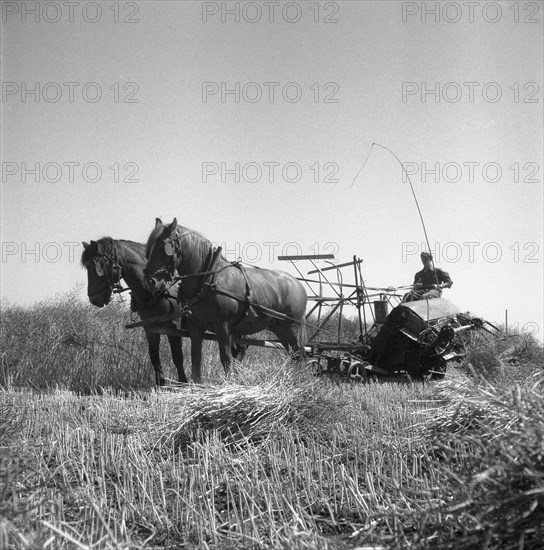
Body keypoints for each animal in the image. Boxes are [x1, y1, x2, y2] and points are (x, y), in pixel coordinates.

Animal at [79, 238, 188, 388]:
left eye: (98, 266)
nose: (94, 299)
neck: (158, 289)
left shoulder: (173, 326)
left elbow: (177, 357)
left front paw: (184, 383)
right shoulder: (150, 328)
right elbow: (154, 357)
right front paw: (160, 384)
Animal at [142, 219, 308, 384]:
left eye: (163, 248)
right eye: (149, 249)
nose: (150, 282)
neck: (207, 280)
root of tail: (298, 284)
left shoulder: (223, 326)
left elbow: (226, 358)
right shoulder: (195, 326)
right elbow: (196, 357)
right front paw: (196, 383)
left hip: (292, 327)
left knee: (299, 354)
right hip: (280, 328)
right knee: (294, 354)